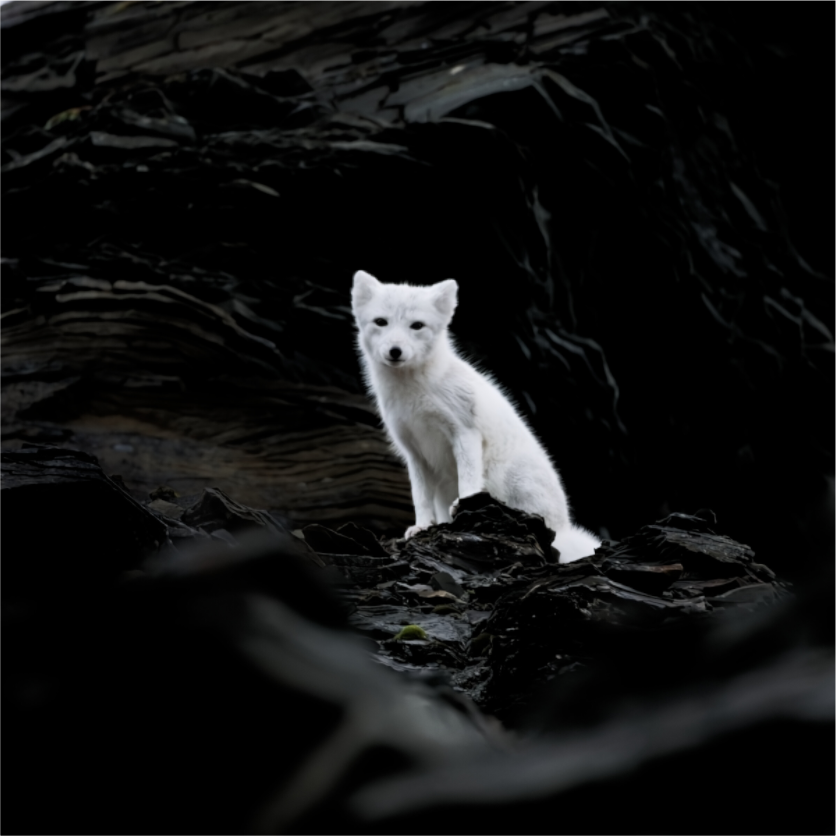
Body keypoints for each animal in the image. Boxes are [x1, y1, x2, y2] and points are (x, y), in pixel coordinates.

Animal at [351, 270, 600, 563]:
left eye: (417, 326)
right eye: (381, 322)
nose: (395, 351)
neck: (414, 393)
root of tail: (563, 527)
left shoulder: (464, 431)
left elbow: (468, 479)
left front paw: (464, 507)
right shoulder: (414, 451)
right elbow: (419, 496)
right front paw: (422, 526)